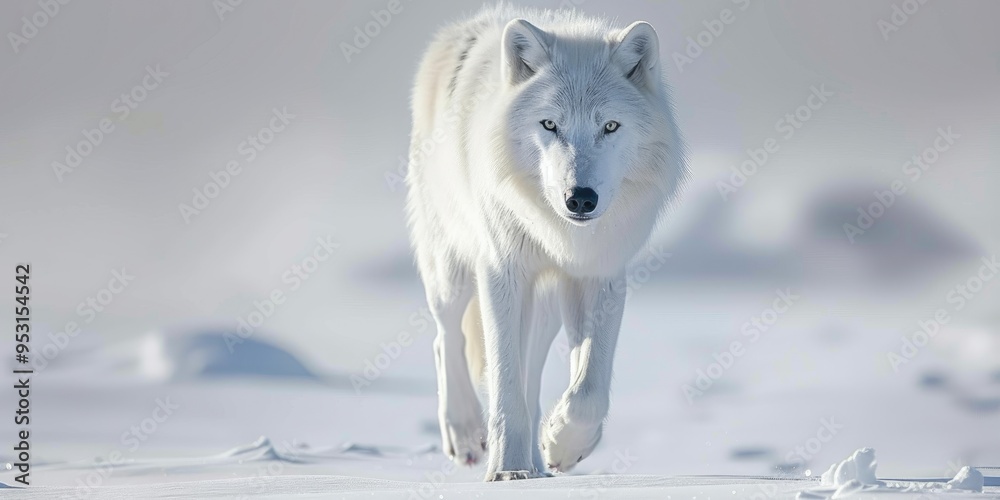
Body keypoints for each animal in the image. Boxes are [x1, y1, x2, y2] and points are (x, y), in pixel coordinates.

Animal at [406, 2, 688, 480]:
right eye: (550, 124)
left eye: (610, 126)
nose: (581, 198)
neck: (561, 235)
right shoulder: (501, 273)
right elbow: (504, 384)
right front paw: (507, 471)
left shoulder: (599, 276)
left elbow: (589, 389)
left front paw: (563, 445)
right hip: (453, 271)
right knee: (447, 338)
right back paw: (467, 435)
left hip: (544, 308)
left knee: (531, 378)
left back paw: (537, 463)